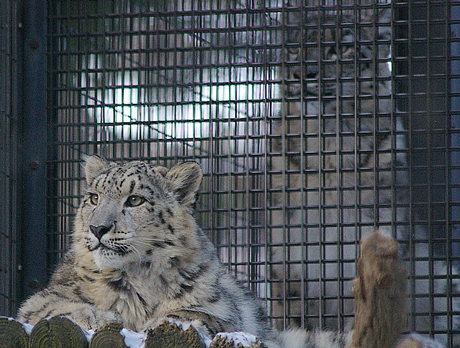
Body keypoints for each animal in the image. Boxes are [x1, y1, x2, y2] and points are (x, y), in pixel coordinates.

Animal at [17, 156, 356, 348]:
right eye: (93, 198)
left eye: (135, 200)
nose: (97, 228)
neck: (139, 279)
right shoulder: (47, 296)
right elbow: (50, 306)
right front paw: (97, 317)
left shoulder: (222, 310)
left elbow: (198, 314)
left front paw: (159, 323)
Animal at [270, 6, 460, 344]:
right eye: (294, 48)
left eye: (340, 48)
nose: (302, 74)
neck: (327, 150)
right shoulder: (288, 256)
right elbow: (293, 316)